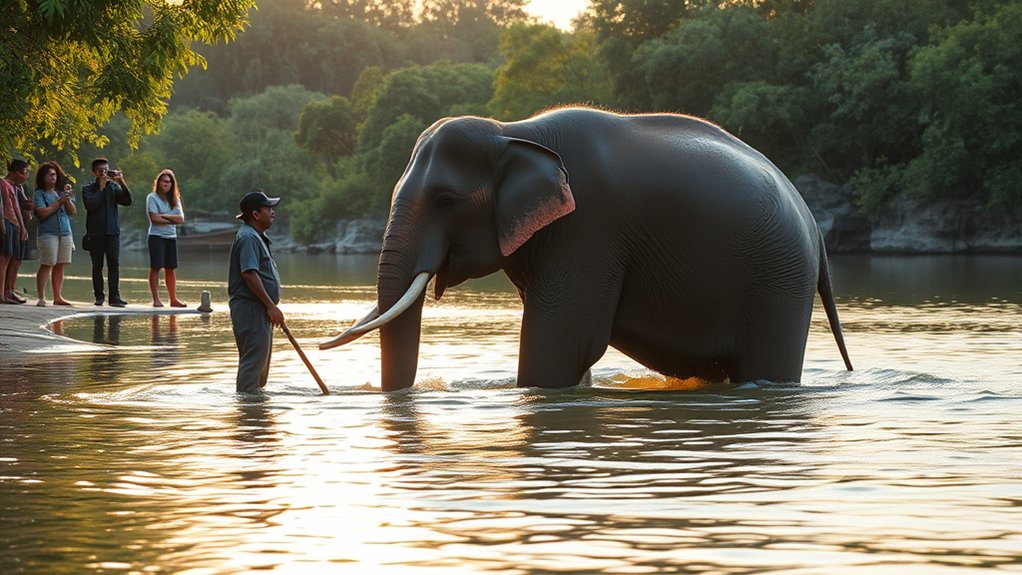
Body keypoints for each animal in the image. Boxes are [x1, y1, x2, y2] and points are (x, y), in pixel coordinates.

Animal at [321, 107, 853, 391]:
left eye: (446, 200)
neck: (514, 131)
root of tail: (815, 228)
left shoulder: (589, 231)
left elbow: (561, 341)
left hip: (781, 279)